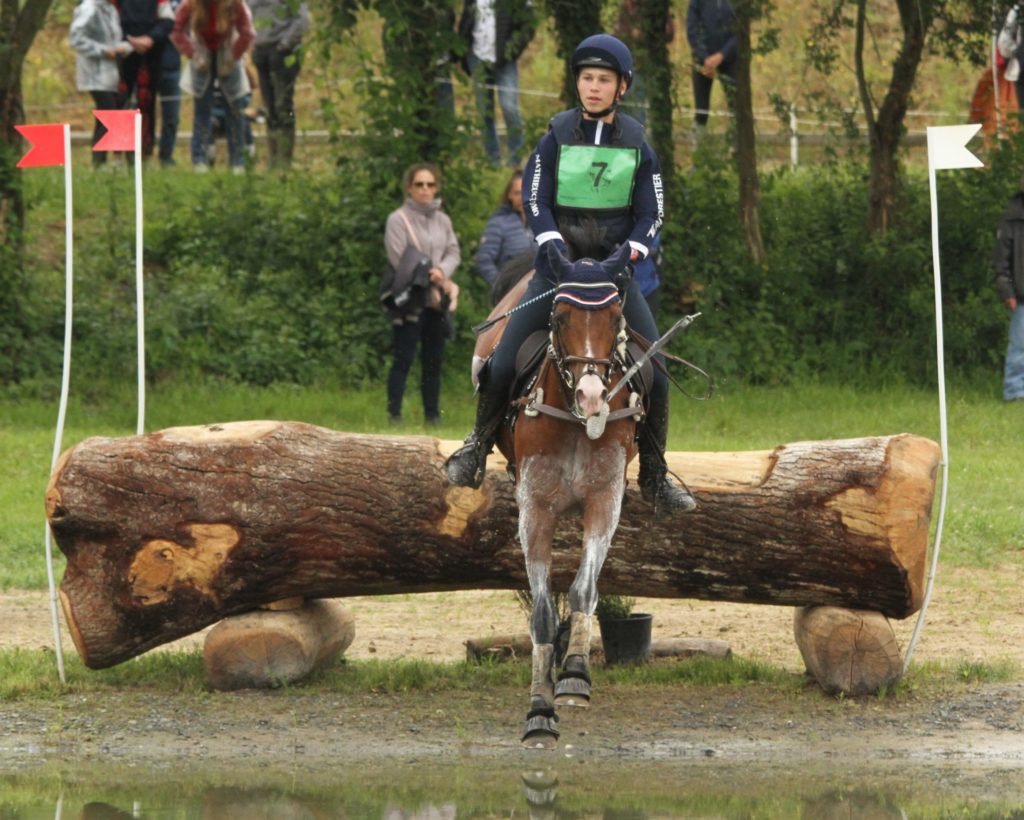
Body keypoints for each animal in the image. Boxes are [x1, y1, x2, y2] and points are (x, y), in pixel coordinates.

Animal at [475, 238, 643, 749]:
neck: (573, 419)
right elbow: (543, 614)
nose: (592, 397)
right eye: (560, 316)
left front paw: (574, 678)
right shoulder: (535, 511)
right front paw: (539, 712)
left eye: (616, 317)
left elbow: (584, 590)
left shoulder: (604, 501)